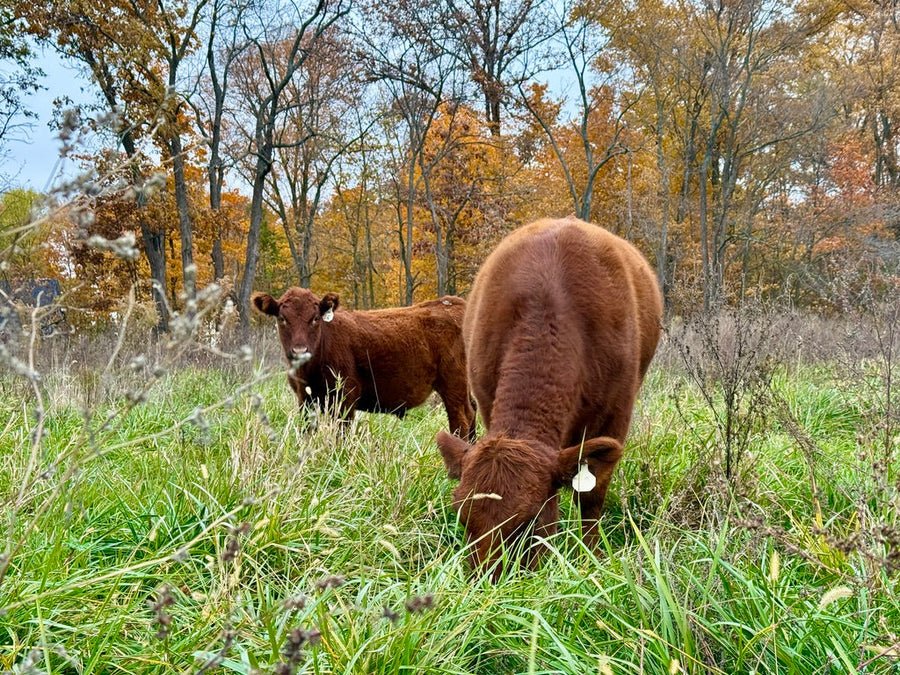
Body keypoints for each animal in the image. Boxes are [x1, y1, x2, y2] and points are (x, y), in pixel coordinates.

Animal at [252, 287, 476, 441]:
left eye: (315, 318)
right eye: (282, 318)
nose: (300, 351)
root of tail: (453, 302)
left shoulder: (346, 396)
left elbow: (341, 434)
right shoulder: (304, 398)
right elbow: (307, 430)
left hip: (453, 384)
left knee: (461, 420)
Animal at [435, 217, 662, 578]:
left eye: (528, 522)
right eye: (462, 517)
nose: (485, 583)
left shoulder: (615, 417)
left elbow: (591, 496)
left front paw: (590, 557)